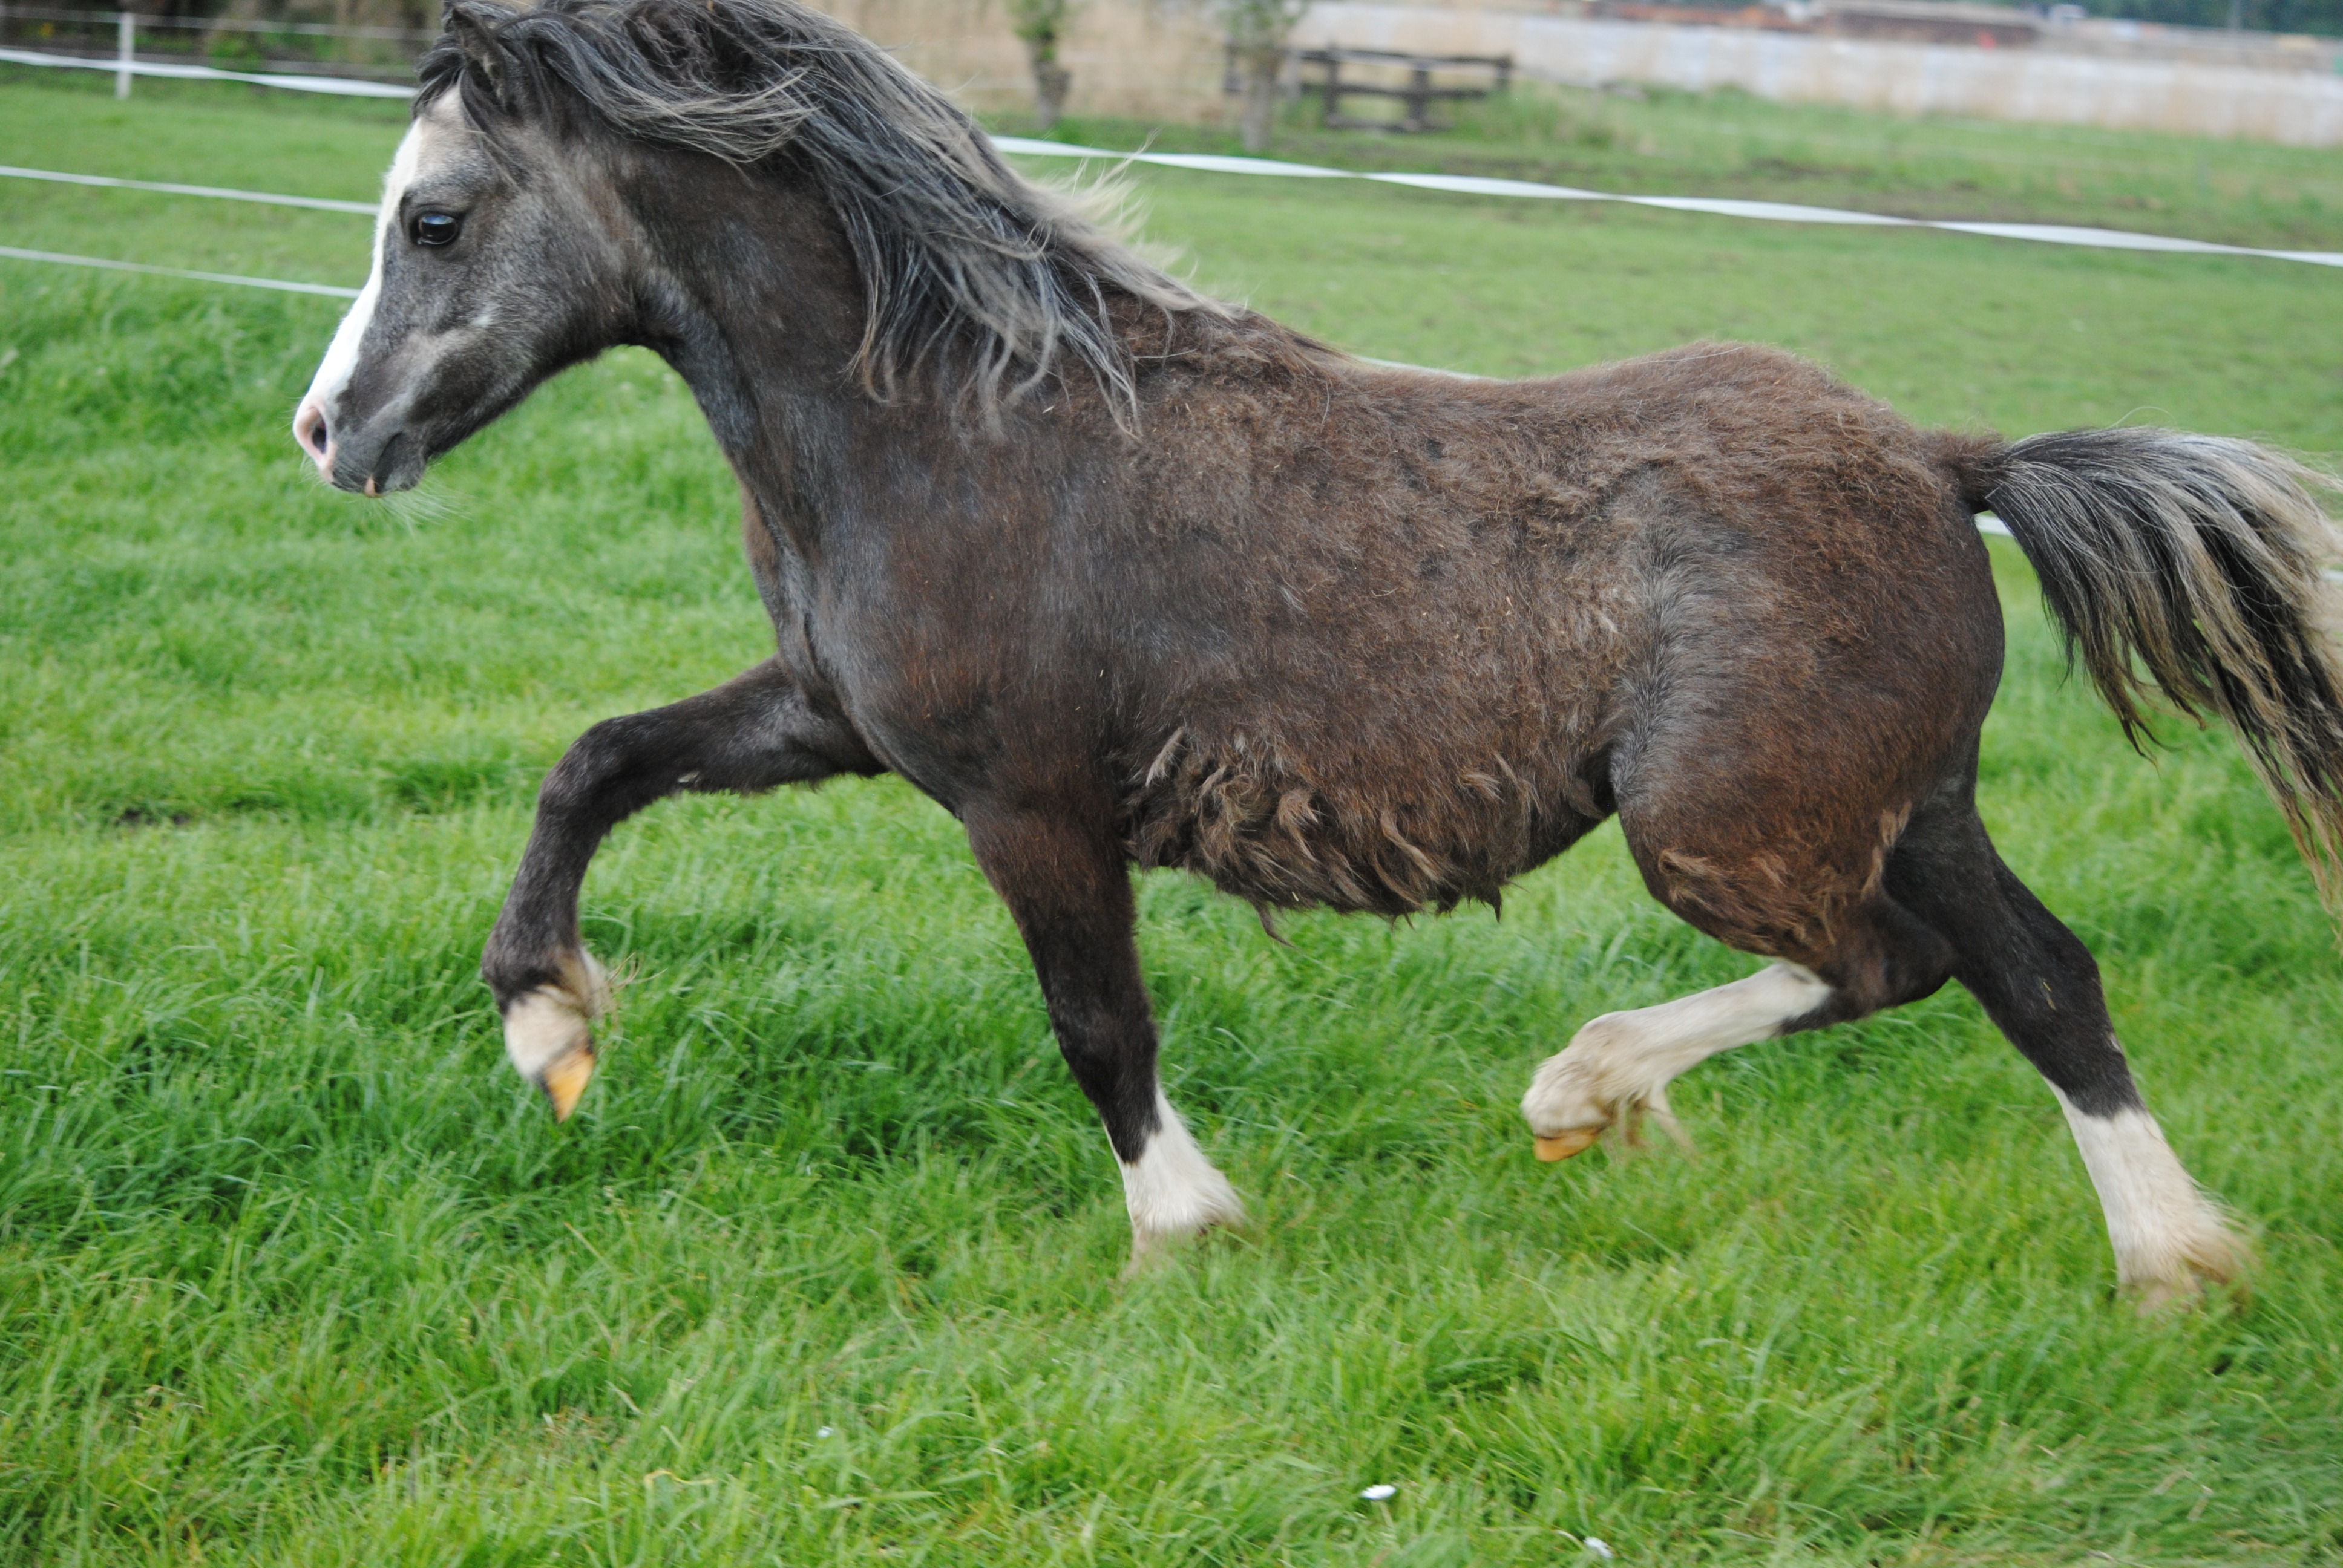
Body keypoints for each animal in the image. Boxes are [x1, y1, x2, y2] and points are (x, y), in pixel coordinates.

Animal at [293, 0, 2343, 1293]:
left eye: (435, 215)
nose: (329, 434)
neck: (951, 420)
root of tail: (1944, 460)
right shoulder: (830, 719)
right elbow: (596, 761)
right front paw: (548, 1026)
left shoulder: (1028, 805)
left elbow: (1097, 1025)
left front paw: (1186, 1229)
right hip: (1908, 802)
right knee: (2043, 980)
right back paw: (2177, 1265)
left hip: (1726, 826)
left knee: (1883, 968)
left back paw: (1586, 1090)